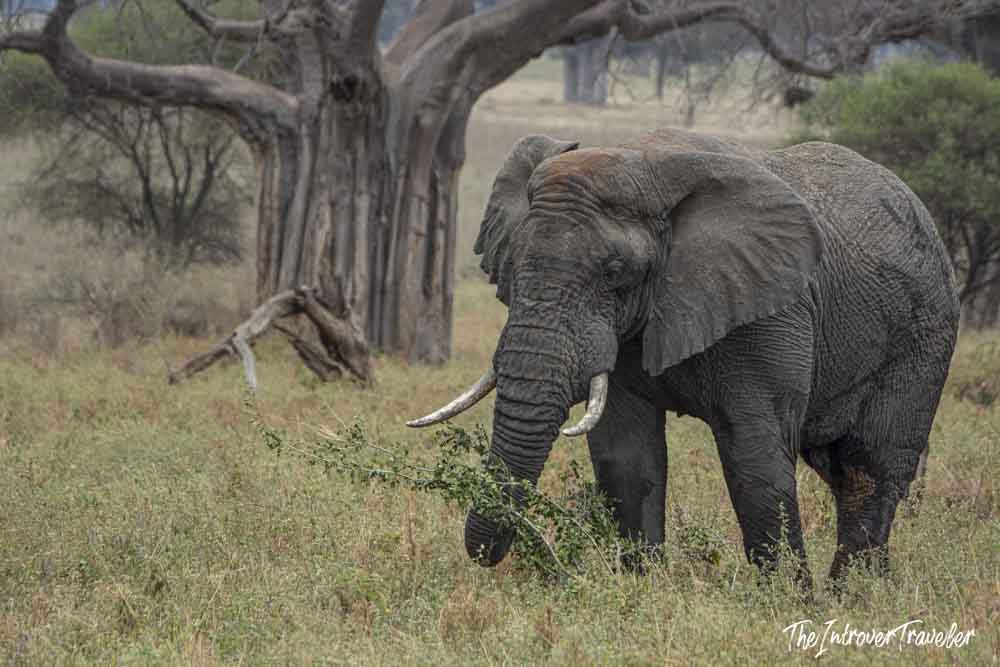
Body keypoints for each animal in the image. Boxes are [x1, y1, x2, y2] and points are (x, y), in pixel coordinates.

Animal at [409, 128, 959, 584]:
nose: (493, 555)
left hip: (925, 332)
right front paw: (643, 590)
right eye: (514, 265)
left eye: (614, 271)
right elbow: (627, 457)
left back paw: (854, 596)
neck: (641, 158)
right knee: (840, 468)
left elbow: (754, 454)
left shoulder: (770, 310)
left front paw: (785, 602)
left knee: (873, 466)